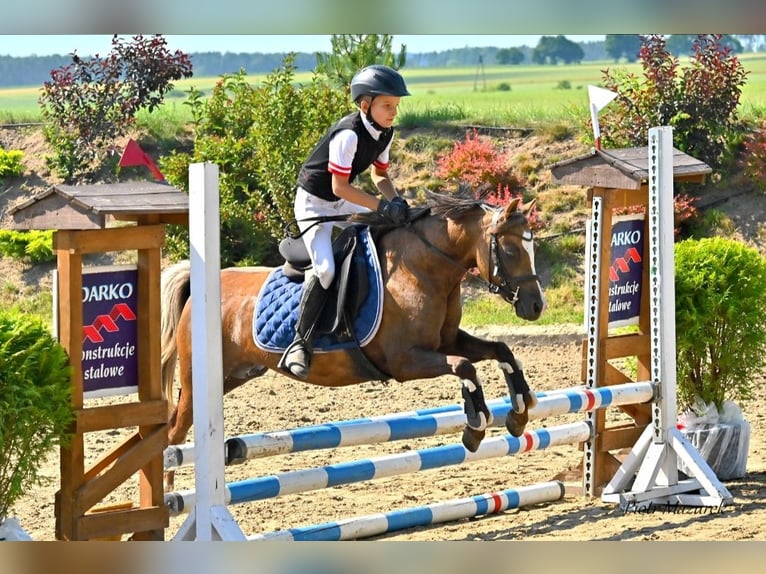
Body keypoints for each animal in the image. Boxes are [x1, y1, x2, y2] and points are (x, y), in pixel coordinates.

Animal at [160, 191, 544, 488]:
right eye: (511, 251)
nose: (536, 306)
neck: (425, 267)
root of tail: (198, 288)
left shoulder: (445, 343)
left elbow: (501, 351)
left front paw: (519, 411)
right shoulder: (406, 360)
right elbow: (465, 368)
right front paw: (475, 427)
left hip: (234, 376)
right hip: (199, 381)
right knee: (174, 432)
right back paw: (168, 495)